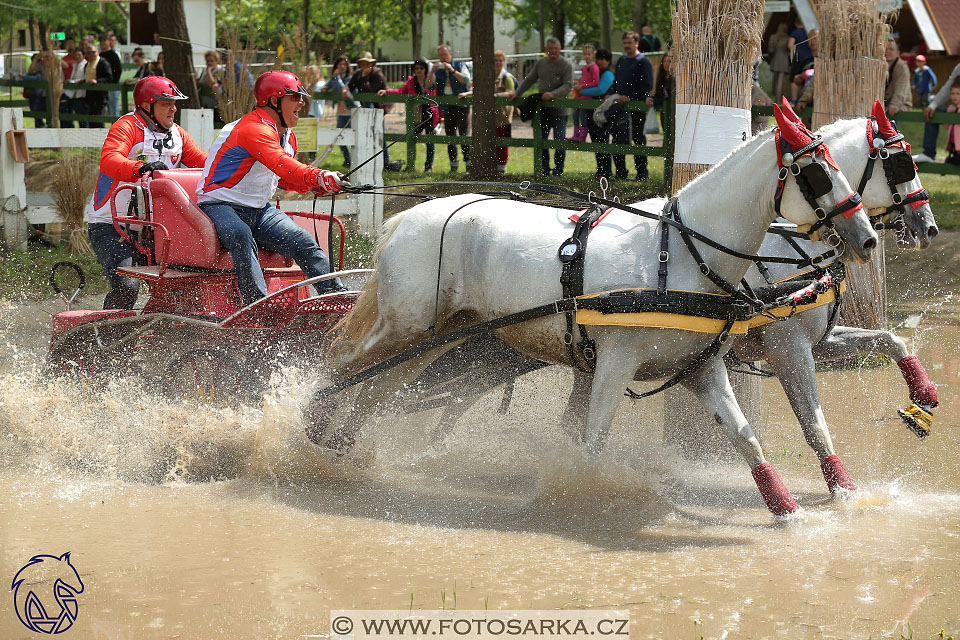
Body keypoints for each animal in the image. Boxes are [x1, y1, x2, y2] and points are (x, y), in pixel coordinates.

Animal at [320, 106, 876, 516]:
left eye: (840, 164)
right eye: (816, 172)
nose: (866, 238)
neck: (677, 254)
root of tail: (409, 217)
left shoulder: (699, 366)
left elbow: (746, 438)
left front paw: (788, 509)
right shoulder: (614, 362)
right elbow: (592, 441)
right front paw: (577, 495)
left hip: (438, 334)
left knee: (378, 388)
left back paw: (340, 443)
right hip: (404, 326)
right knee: (340, 366)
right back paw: (309, 421)